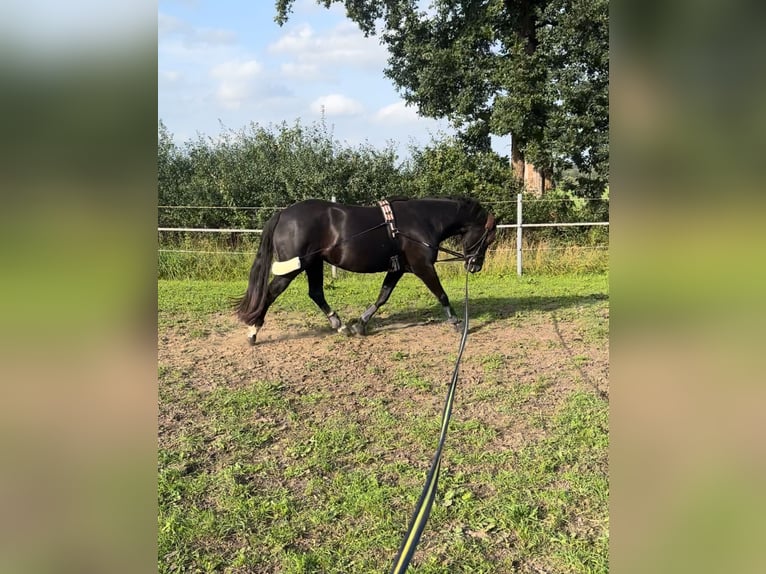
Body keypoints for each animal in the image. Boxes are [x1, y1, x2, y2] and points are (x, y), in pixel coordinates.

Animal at [236, 198, 498, 344]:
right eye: (488, 239)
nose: (474, 266)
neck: (422, 221)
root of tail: (283, 214)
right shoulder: (422, 267)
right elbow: (441, 294)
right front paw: (457, 323)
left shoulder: (399, 269)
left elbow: (383, 296)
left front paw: (359, 325)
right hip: (294, 268)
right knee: (271, 293)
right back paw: (252, 332)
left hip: (313, 264)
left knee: (316, 293)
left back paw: (340, 325)